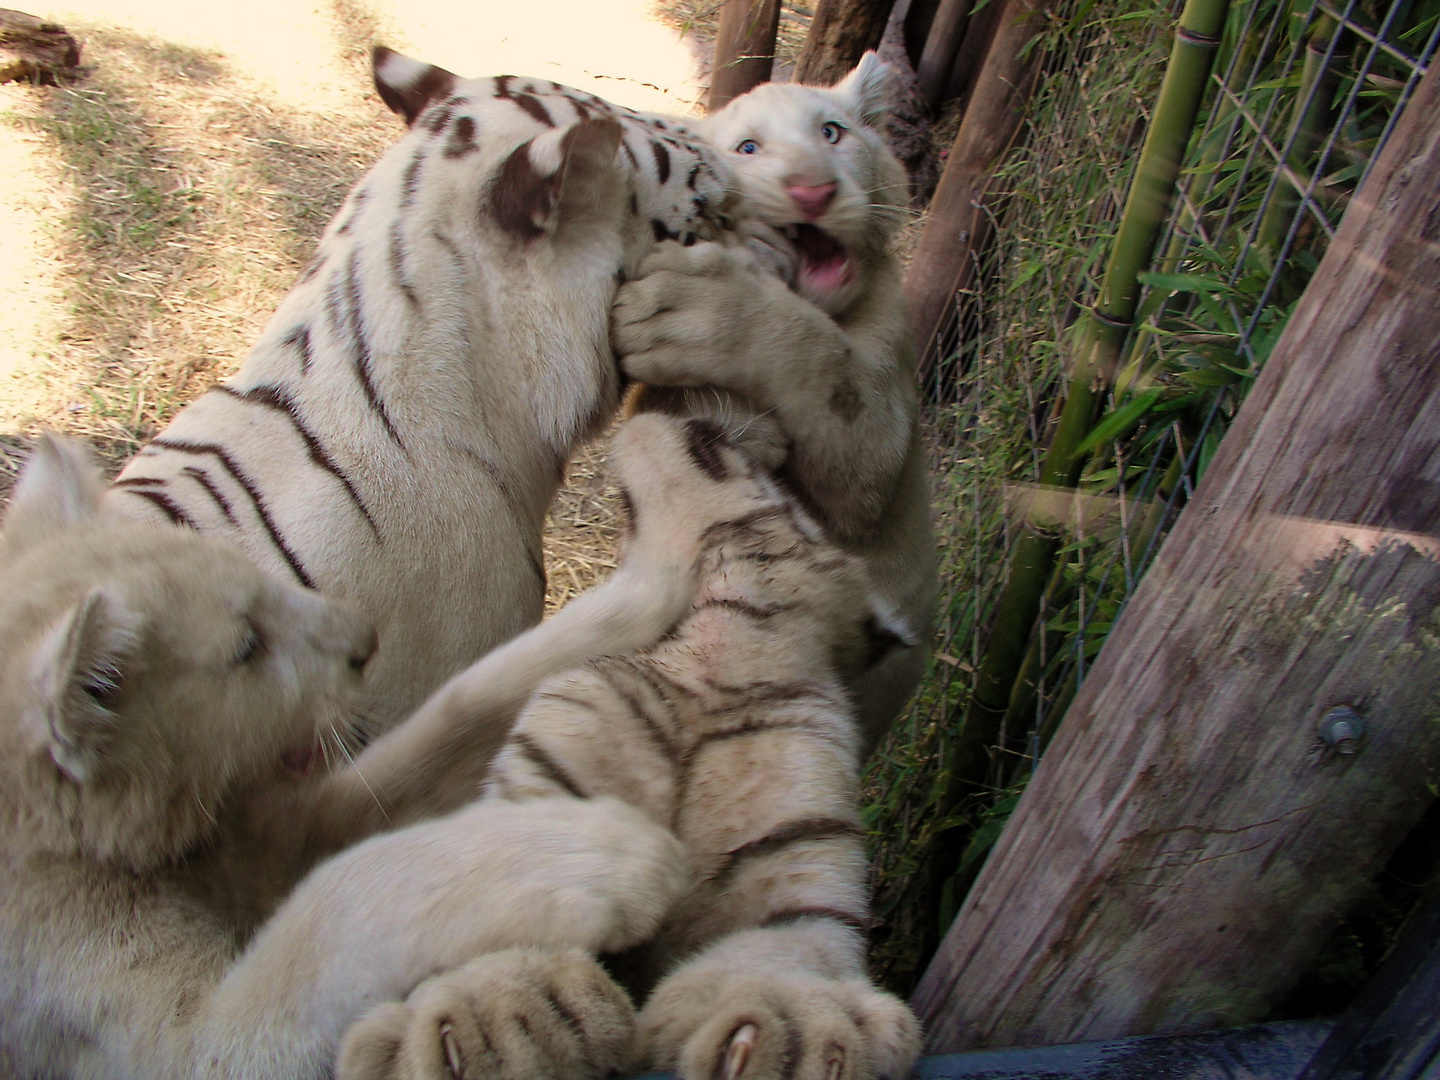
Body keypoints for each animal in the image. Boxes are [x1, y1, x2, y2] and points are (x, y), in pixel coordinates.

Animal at [616, 52, 933, 754]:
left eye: (832, 133)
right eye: (748, 148)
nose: (812, 191)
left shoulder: (878, 441)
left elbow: (820, 359)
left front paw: (690, 306)